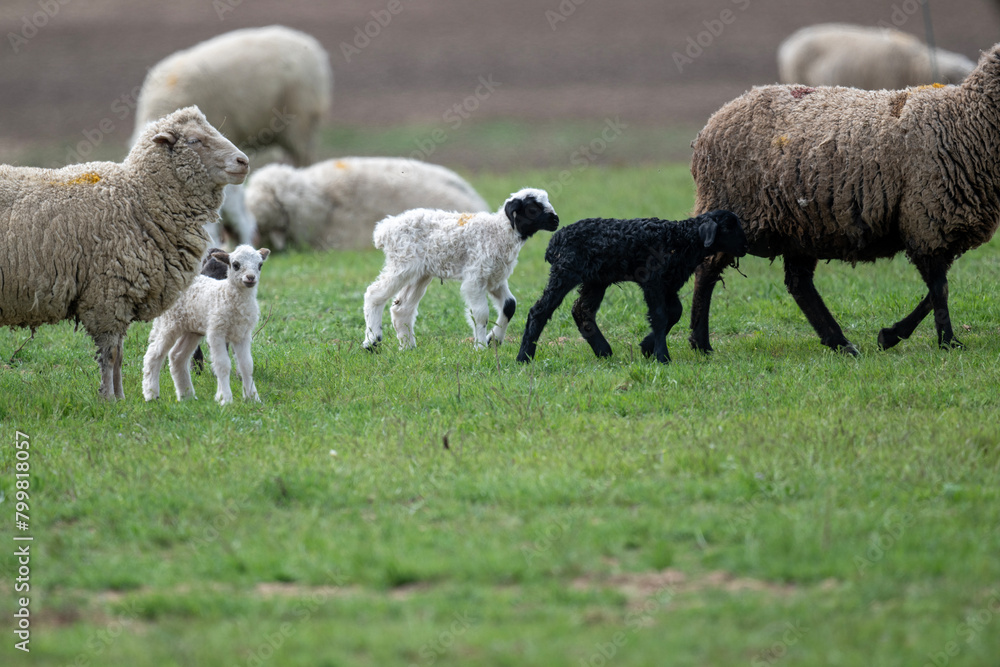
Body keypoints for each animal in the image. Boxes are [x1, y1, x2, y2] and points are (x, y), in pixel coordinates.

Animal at [0, 106, 247, 399]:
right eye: (194, 140)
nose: (243, 161)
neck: (137, 198)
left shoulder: (121, 297)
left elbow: (118, 354)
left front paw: (120, 398)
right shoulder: (107, 296)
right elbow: (110, 354)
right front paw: (109, 398)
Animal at [143, 245, 270, 405]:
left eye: (260, 265)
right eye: (235, 265)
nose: (251, 278)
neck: (228, 295)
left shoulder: (243, 335)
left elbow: (246, 365)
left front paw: (253, 398)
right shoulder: (216, 332)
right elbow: (223, 365)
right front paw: (225, 399)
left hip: (191, 329)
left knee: (177, 356)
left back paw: (187, 396)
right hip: (170, 322)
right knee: (153, 354)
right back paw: (151, 395)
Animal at [362, 188, 559, 351]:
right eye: (533, 208)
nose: (556, 221)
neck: (499, 232)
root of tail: (384, 230)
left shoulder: (495, 278)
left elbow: (510, 305)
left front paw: (494, 340)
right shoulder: (475, 277)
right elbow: (481, 314)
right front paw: (480, 347)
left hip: (420, 272)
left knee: (401, 308)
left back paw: (408, 347)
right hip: (402, 264)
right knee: (374, 293)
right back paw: (372, 342)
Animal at [516, 210, 748, 364]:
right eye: (729, 227)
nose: (746, 247)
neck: (680, 239)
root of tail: (554, 242)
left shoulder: (669, 284)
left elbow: (674, 313)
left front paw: (647, 347)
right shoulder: (652, 280)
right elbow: (660, 316)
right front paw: (662, 356)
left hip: (595, 279)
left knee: (582, 310)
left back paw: (603, 351)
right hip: (565, 272)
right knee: (539, 311)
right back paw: (524, 357)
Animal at [688, 42, 1000, 357]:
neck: (964, 119)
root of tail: (712, 123)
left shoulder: (937, 226)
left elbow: (937, 291)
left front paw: (892, 335)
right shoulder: (926, 219)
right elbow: (939, 289)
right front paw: (947, 341)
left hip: (800, 226)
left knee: (799, 284)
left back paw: (840, 343)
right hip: (733, 210)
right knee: (706, 271)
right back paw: (700, 343)